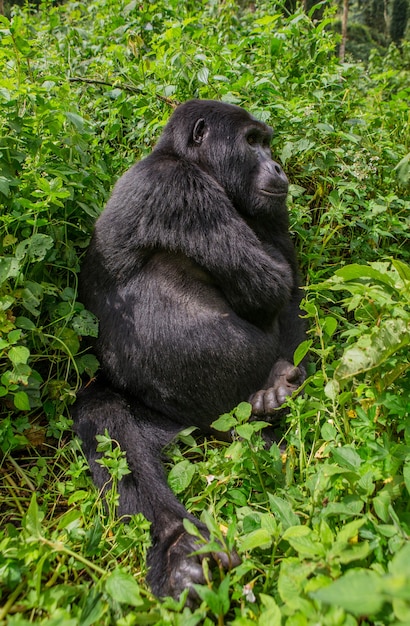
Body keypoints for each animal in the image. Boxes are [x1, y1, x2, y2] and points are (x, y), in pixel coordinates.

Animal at [73, 100, 304, 604]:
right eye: (253, 142)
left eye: (267, 142)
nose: (279, 166)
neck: (181, 156)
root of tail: (209, 430)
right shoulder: (181, 188)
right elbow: (272, 286)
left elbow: (288, 284)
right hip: (183, 423)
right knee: (103, 416)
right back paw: (178, 544)